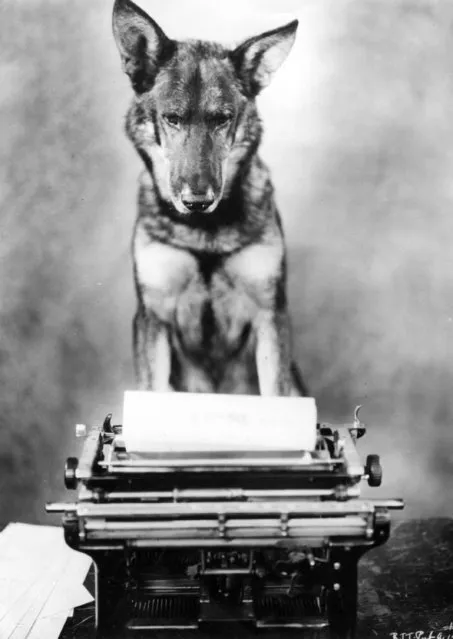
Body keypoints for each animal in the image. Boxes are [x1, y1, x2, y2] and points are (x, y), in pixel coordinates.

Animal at [112, 0, 308, 398]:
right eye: (172, 118)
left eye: (222, 119)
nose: (197, 200)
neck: (205, 230)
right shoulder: (153, 317)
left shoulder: (270, 314)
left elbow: (274, 390)